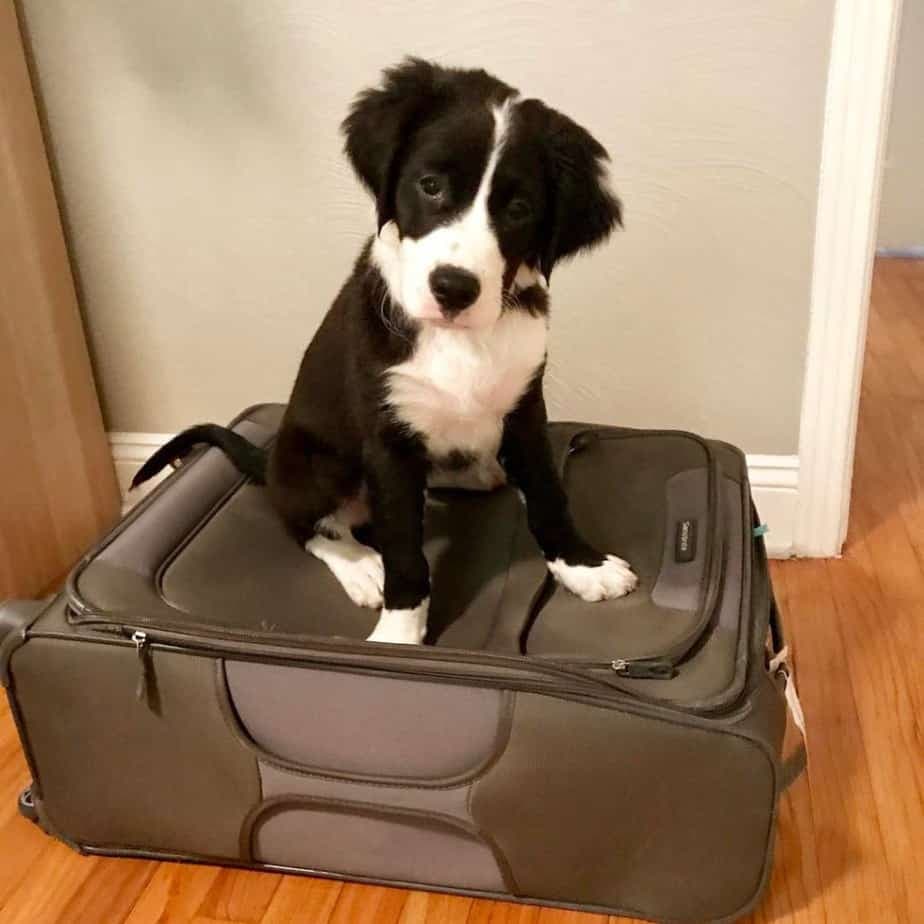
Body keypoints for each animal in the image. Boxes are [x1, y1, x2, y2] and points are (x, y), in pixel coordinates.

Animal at [135, 59, 636, 644]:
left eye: (519, 209)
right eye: (430, 186)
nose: (454, 288)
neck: (458, 337)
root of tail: (269, 463)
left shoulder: (524, 408)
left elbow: (547, 493)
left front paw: (582, 566)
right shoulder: (387, 440)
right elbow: (402, 547)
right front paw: (400, 631)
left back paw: (475, 472)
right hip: (314, 464)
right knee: (306, 524)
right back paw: (358, 564)